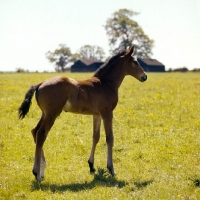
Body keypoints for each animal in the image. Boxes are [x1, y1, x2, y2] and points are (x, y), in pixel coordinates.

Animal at [18, 46, 147, 181]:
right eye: (135, 62)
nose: (145, 76)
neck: (105, 83)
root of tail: (40, 84)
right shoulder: (107, 113)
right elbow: (109, 138)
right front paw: (111, 169)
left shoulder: (97, 115)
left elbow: (95, 137)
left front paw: (91, 166)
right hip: (52, 114)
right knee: (41, 134)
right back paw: (36, 173)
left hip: (45, 113)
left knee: (35, 131)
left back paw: (42, 170)